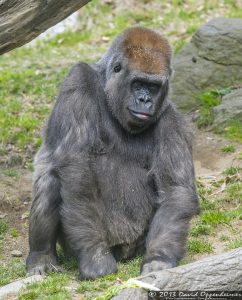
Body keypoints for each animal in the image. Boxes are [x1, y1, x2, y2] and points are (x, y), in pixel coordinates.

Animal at [27, 27, 199, 278]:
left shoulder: (171, 118)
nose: (145, 100)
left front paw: (158, 258)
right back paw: (41, 257)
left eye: (154, 87)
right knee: (51, 180)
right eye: (138, 84)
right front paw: (95, 256)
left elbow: (175, 190)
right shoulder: (78, 80)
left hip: (136, 244)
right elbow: (76, 168)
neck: (108, 88)